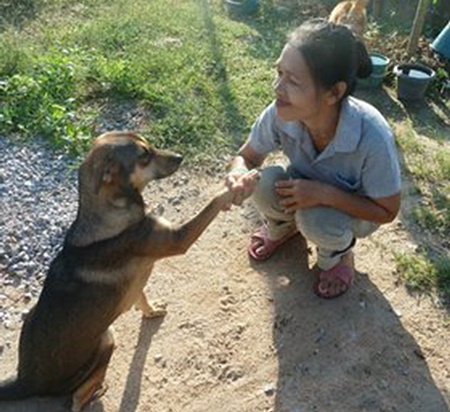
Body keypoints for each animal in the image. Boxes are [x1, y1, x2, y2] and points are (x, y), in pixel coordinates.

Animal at [0, 130, 234, 410]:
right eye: (144, 156)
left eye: (149, 146)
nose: (180, 156)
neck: (109, 211)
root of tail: (26, 381)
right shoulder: (178, 238)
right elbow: (212, 203)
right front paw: (240, 184)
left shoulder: (141, 276)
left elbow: (141, 296)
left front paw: (151, 311)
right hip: (107, 339)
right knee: (76, 397)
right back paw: (93, 392)